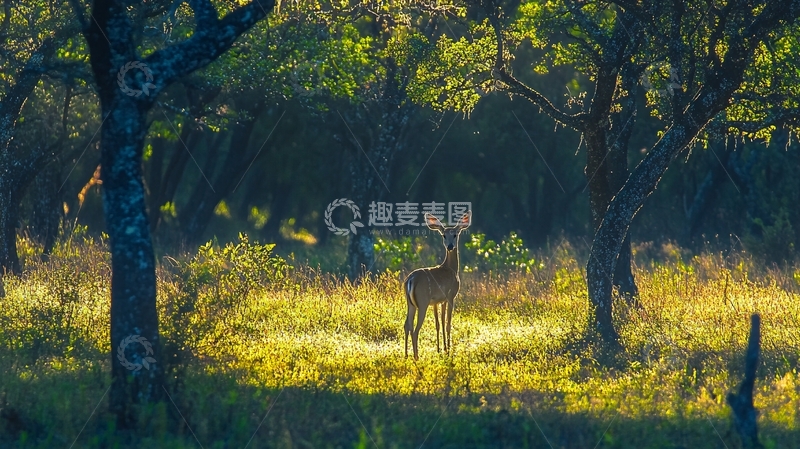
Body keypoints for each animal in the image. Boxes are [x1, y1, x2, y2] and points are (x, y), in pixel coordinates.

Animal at [404, 210, 471, 360]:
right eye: (444, 235)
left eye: (455, 234)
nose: (450, 246)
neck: (451, 269)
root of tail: (410, 280)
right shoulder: (451, 296)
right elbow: (447, 323)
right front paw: (448, 349)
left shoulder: (437, 301)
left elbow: (438, 323)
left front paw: (440, 349)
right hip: (422, 301)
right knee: (415, 329)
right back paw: (416, 356)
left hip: (410, 303)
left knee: (406, 325)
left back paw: (405, 355)